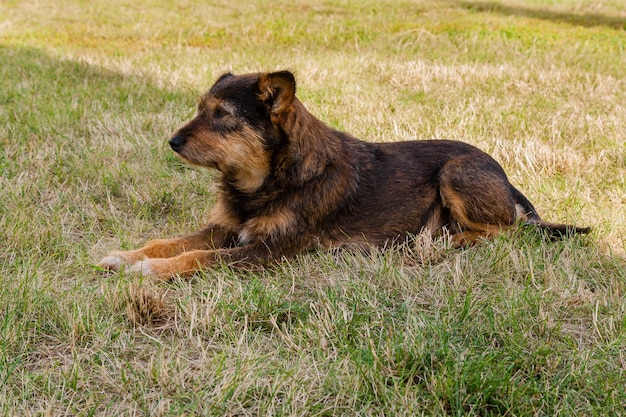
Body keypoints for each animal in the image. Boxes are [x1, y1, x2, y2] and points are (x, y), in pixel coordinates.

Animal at [96, 70, 584, 280]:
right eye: (201, 108)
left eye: (222, 115)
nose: (172, 142)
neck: (267, 180)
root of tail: (506, 178)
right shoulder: (226, 228)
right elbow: (168, 241)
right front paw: (126, 255)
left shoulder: (269, 251)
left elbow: (196, 257)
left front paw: (149, 270)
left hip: (457, 171)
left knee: (507, 230)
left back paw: (441, 243)